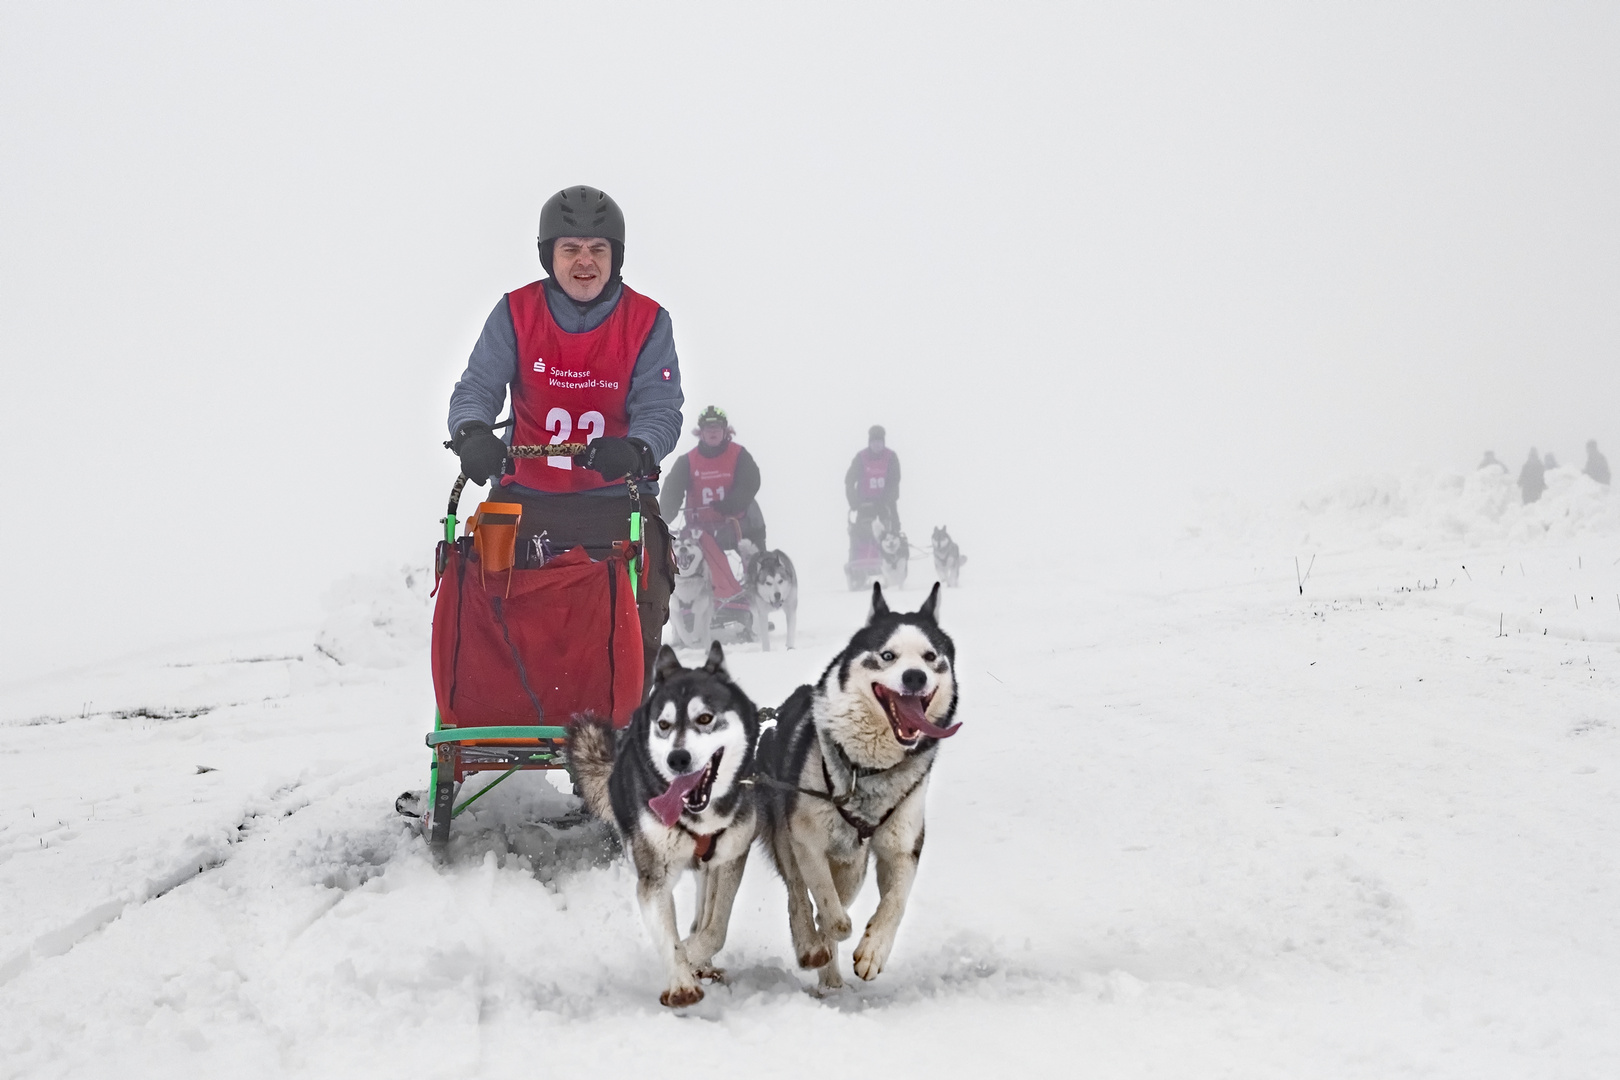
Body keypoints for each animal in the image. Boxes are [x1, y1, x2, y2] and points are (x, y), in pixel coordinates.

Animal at [567, 647, 761, 1010]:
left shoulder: (729, 859)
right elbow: (669, 937)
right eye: (664, 725)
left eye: (705, 718)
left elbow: (714, 929)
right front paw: (681, 981)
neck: (697, 815)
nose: (677, 758)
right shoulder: (654, 877)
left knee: (703, 912)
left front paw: (693, 953)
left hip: (708, 869)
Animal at [758, 582, 959, 990]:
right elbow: (826, 903)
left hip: (853, 864)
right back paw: (811, 947)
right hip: (791, 840)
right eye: (888, 655)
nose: (915, 677)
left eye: (931, 657)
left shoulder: (902, 846)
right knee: (798, 895)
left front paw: (872, 951)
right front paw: (831, 932)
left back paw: (831, 976)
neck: (867, 769)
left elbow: (895, 902)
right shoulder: (806, 838)